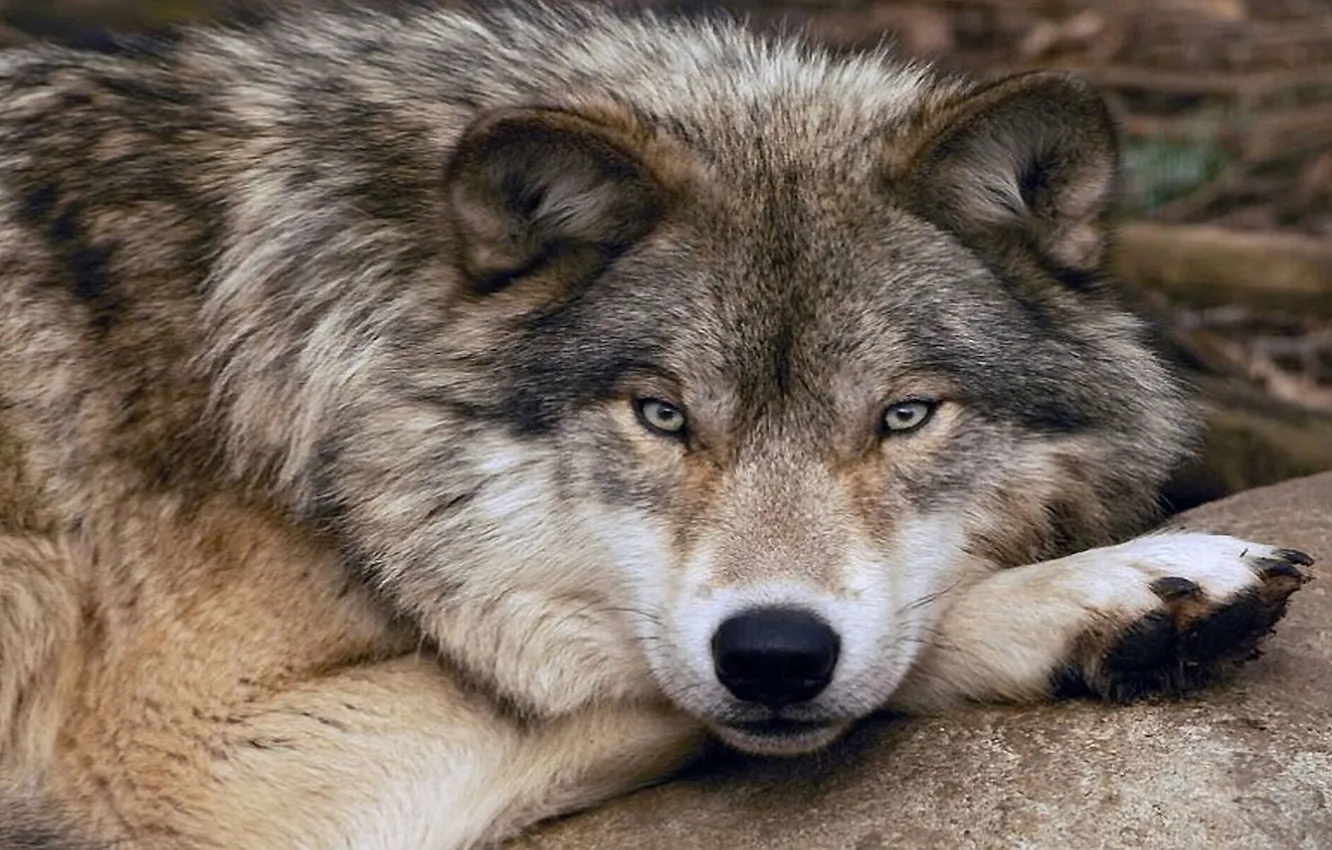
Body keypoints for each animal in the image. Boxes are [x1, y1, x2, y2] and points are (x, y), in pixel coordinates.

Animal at [0, 2, 1314, 848]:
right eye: (662, 414)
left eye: (904, 415)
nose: (774, 652)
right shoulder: (192, 759)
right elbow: (666, 680)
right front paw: (1106, 590)